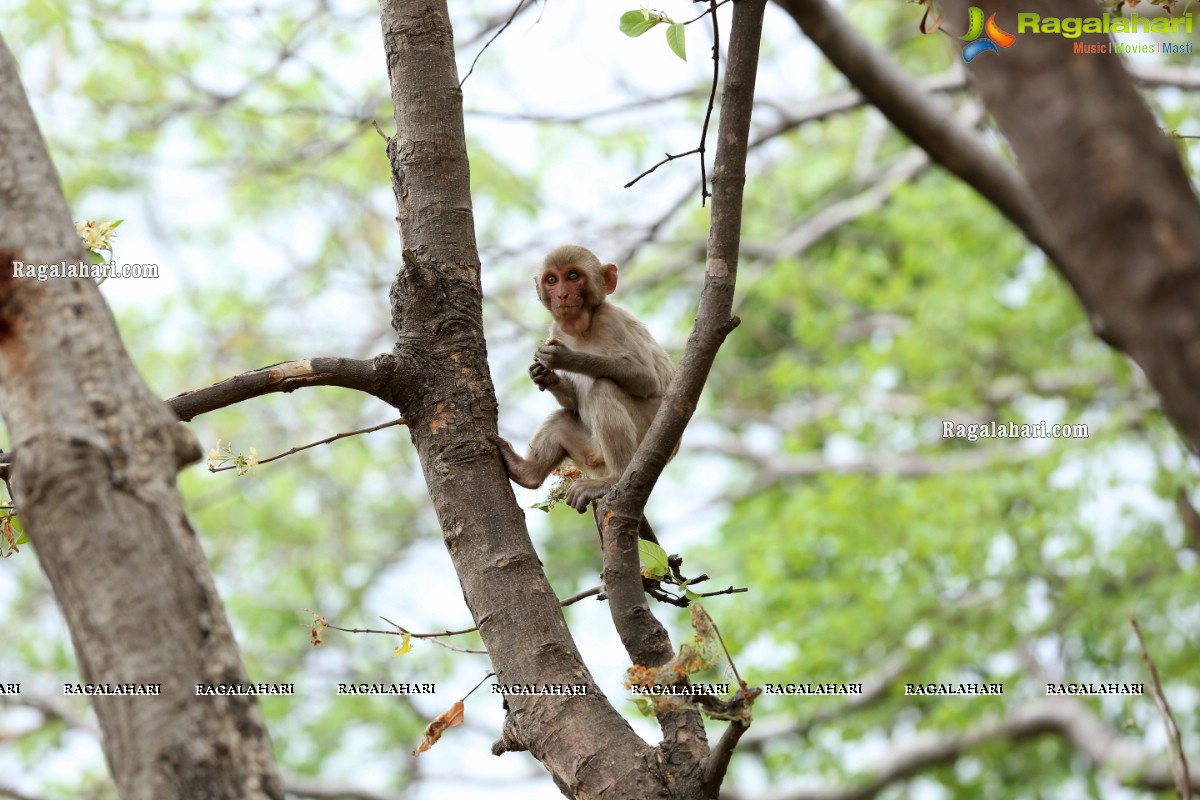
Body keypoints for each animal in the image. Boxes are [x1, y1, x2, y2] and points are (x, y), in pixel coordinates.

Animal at [487, 247, 676, 515]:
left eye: (573, 276)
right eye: (552, 279)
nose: (562, 295)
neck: (580, 329)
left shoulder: (610, 320)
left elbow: (647, 380)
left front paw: (565, 357)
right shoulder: (556, 329)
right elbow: (573, 404)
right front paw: (543, 374)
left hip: (644, 440)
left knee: (603, 387)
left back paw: (615, 478)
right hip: (588, 451)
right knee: (562, 417)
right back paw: (526, 472)